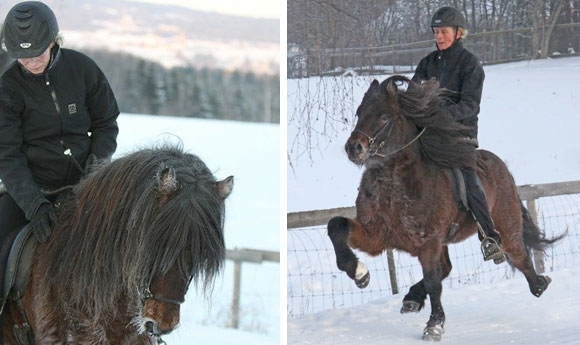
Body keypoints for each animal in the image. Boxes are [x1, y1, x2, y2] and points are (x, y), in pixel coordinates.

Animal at [328, 76, 564, 342]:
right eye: (359, 113)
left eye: (385, 117)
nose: (354, 148)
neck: (394, 189)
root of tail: (500, 166)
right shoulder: (377, 235)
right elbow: (337, 226)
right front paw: (359, 272)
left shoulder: (429, 241)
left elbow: (433, 281)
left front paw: (434, 325)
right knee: (447, 267)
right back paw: (412, 298)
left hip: (506, 226)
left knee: (519, 255)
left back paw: (539, 283)